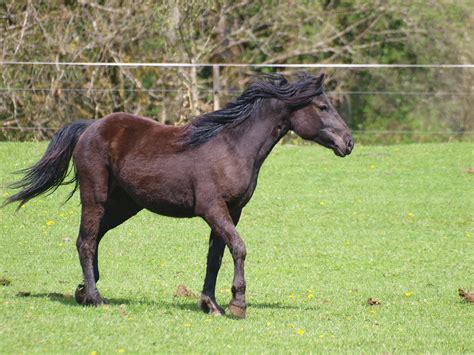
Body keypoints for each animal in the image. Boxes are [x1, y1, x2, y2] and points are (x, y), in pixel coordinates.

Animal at [4, 73, 352, 318]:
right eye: (322, 107)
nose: (348, 142)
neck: (233, 147)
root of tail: (90, 127)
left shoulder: (231, 211)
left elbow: (216, 256)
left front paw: (211, 304)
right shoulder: (213, 208)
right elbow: (238, 248)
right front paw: (238, 303)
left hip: (124, 205)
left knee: (92, 238)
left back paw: (82, 292)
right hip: (96, 198)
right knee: (86, 242)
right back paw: (96, 298)